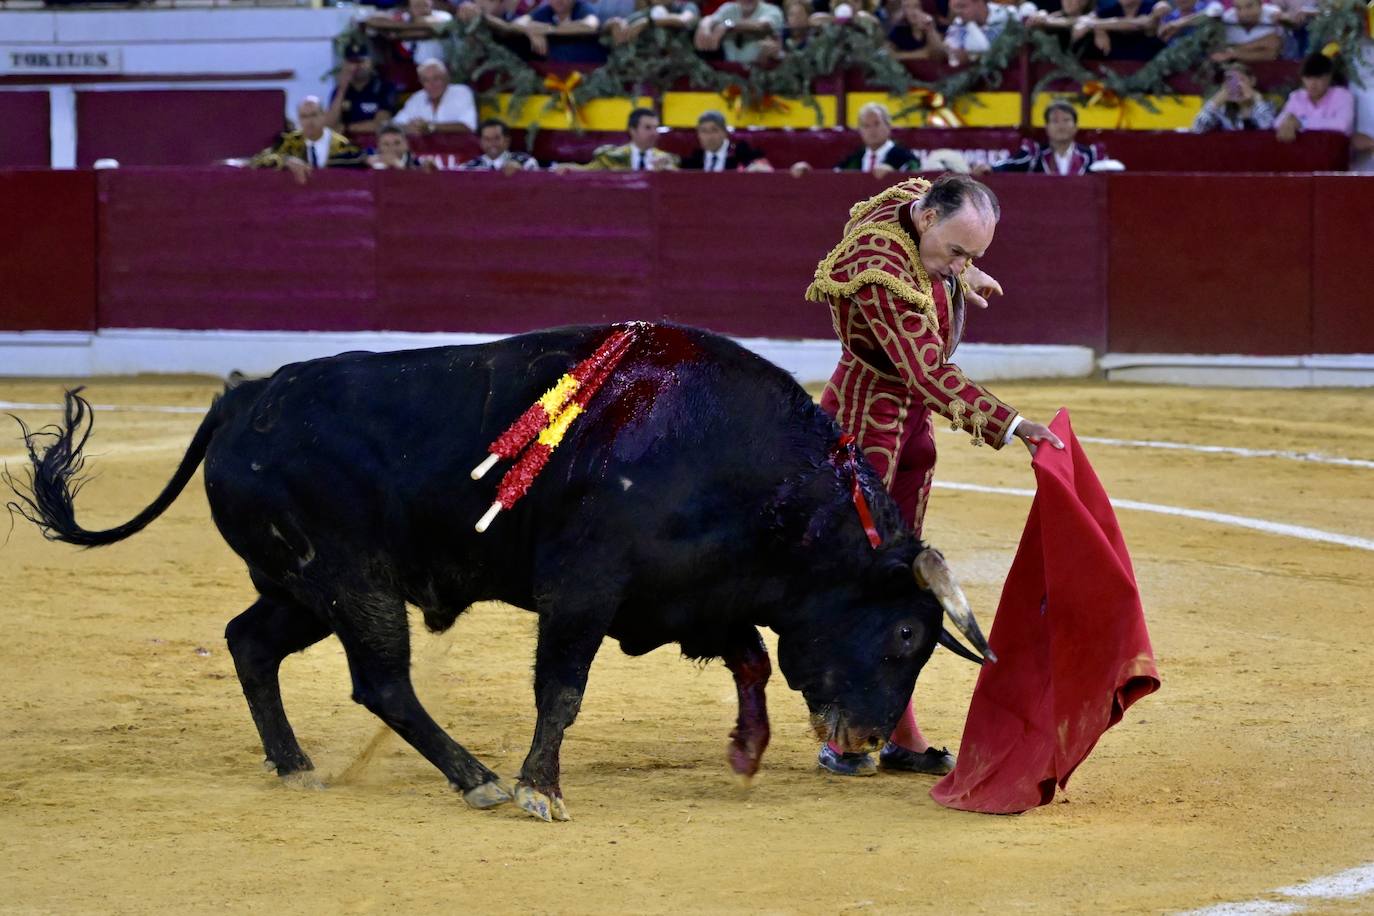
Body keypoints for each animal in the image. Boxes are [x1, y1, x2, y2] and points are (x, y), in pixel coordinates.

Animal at [5, 324, 994, 823]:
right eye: (906, 633)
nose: (866, 743)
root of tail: (245, 395)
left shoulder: (689, 597)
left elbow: (751, 657)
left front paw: (745, 752)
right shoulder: (584, 592)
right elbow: (563, 689)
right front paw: (539, 788)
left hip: (302, 587)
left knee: (250, 642)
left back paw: (296, 767)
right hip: (351, 580)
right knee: (381, 682)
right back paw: (475, 778)